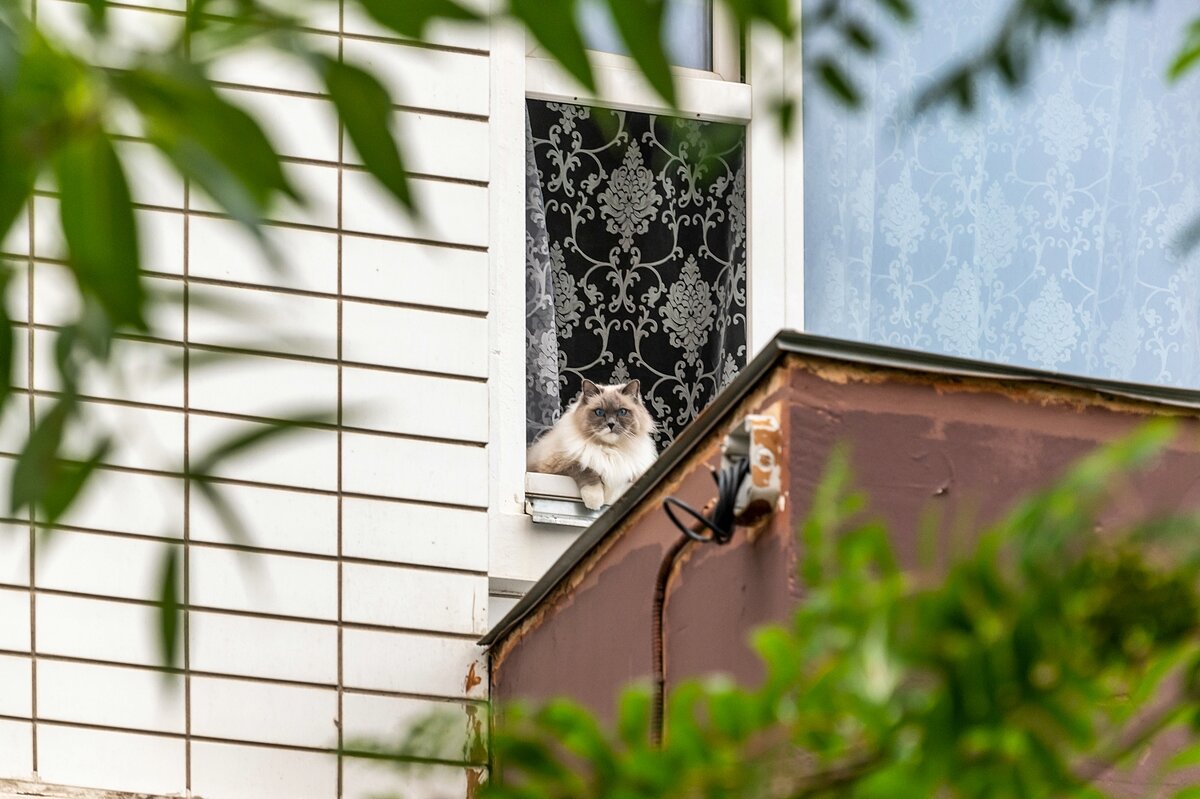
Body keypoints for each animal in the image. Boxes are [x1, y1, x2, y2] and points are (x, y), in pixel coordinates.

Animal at [528, 376, 657, 506]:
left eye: (622, 412)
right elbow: (585, 469)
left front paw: (610, 498)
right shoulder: (558, 465)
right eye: (599, 412)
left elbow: (619, 480)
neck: (609, 448)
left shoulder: (630, 469)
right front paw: (595, 501)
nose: (611, 424)